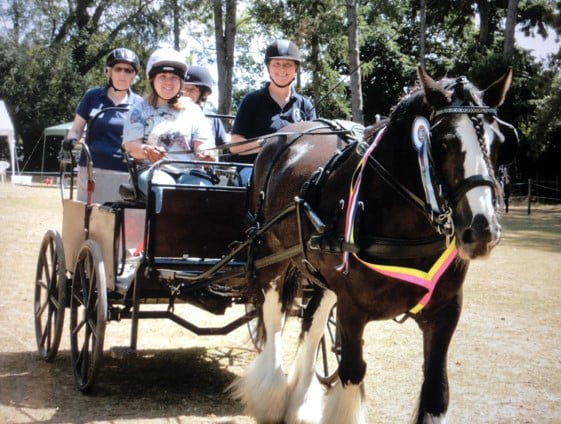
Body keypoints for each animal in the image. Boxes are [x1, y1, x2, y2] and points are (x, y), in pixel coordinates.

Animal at [231, 66, 516, 424]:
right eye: (443, 143)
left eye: (501, 142)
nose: (481, 231)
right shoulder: (352, 309)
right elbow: (352, 371)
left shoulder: (446, 310)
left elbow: (436, 390)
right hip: (269, 254)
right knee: (272, 316)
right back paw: (271, 393)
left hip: (321, 272)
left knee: (312, 321)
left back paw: (300, 403)